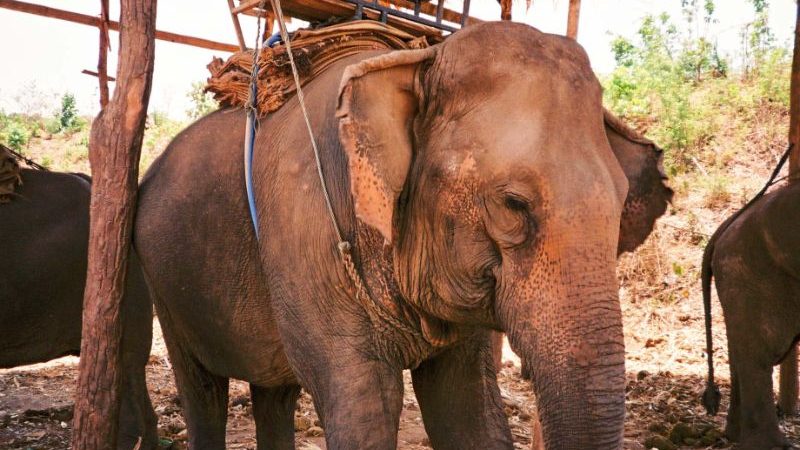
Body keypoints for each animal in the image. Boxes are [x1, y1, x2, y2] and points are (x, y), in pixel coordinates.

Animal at [134, 22, 628, 450]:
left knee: (274, 392)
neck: (415, 62)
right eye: (513, 204)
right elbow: (364, 403)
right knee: (202, 388)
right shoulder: (308, 233)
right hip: (163, 284)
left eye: (624, 202)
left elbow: (466, 409)